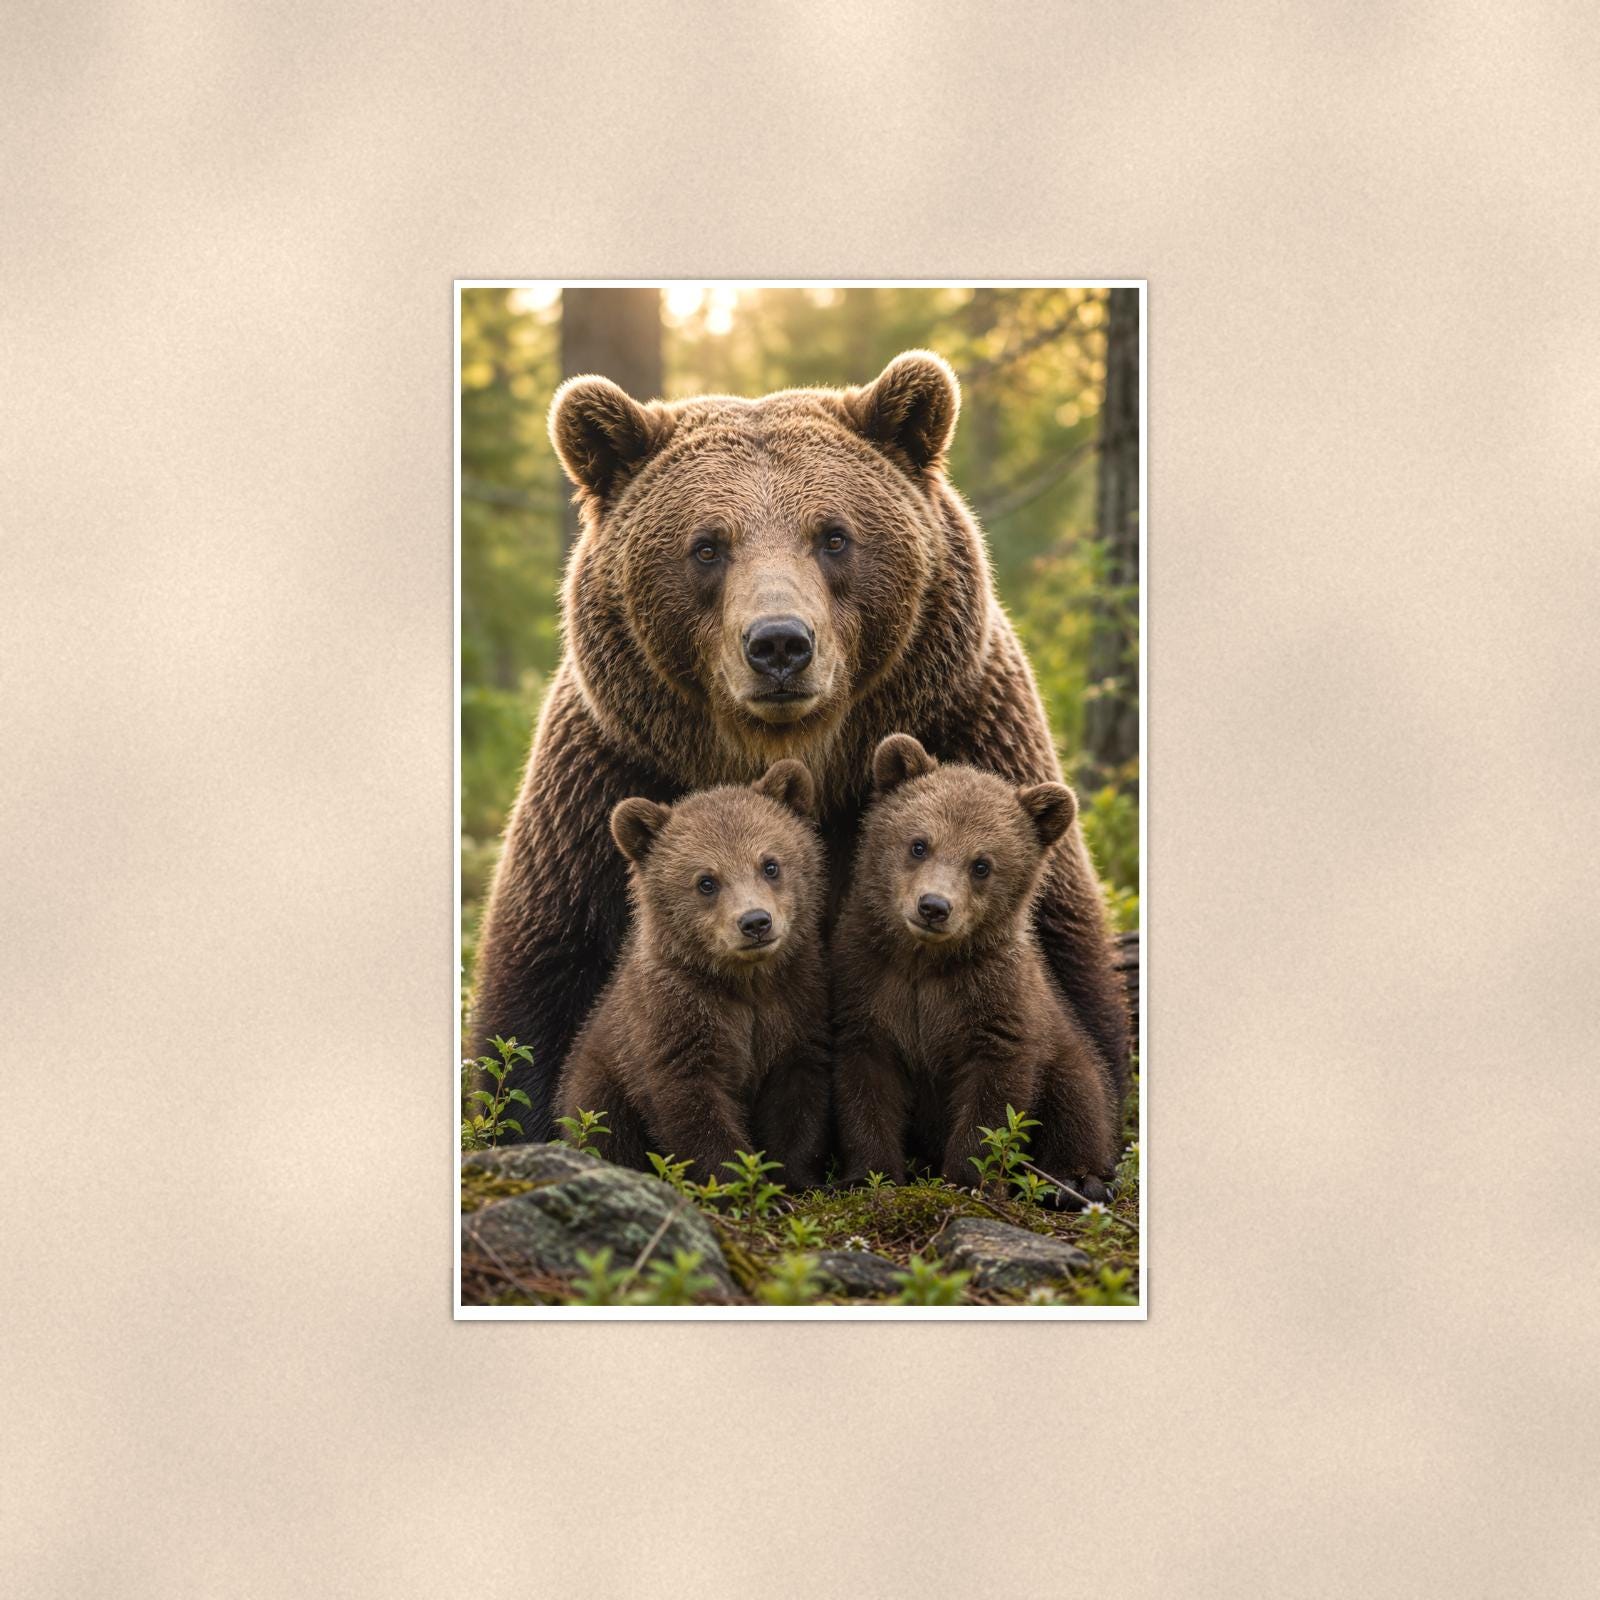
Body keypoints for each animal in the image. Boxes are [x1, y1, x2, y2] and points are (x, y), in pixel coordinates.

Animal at [470, 349, 1130, 1142]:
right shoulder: (607, 780)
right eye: (707, 546)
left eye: (834, 535)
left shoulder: (972, 730)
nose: (780, 644)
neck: (800, 753)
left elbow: (1062, 966)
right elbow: (540, 992)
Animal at [555, 759, 831, 1189]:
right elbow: (692, 1107)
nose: (755, 922)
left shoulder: (796, 1006)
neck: (746, 983)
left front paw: (795, 1179)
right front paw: (740, 1182)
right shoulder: (675, 1017)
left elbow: (798, 1099)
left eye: (770, 864)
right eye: (706, 881)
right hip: (598, 1081)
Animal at [831, 735, 1119, 1202]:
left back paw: (1076, 1179)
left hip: (1064, 1045)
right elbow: (865, 1085)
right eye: (919, 844)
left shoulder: (995, 1001)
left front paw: (969, 1179)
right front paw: (868, 1175)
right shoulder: (867, 987)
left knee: (1079, 1095)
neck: (925, 963)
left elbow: (994, 1098)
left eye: (982, 864)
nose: (933, 906)